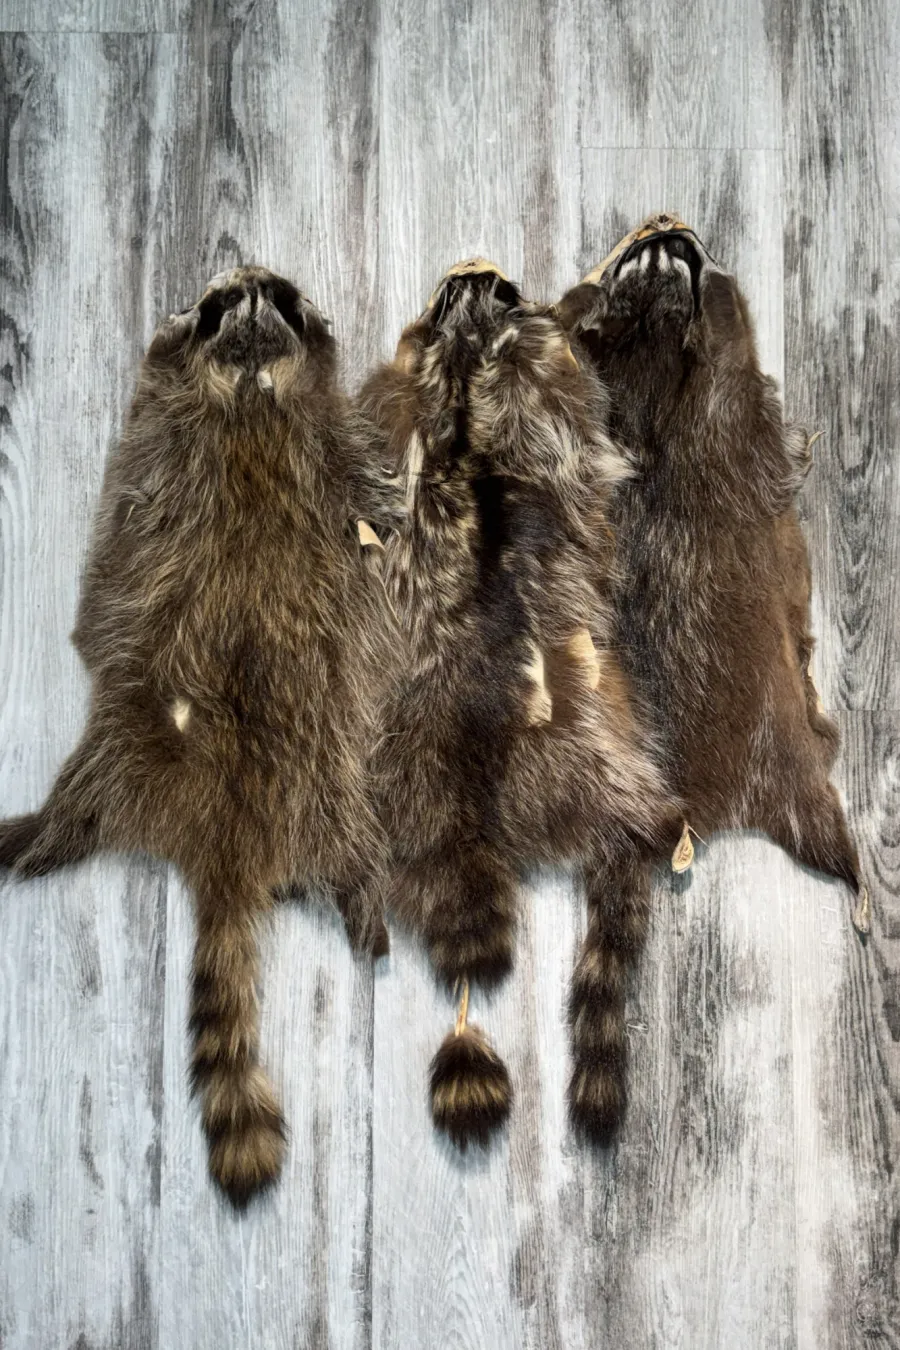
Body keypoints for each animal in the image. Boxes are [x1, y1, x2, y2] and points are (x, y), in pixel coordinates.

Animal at [0, 267, 398, 1204]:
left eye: (279, 295)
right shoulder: (168, 444)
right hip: (132, 739)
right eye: (218, 304)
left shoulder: (295, 445)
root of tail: (229, 834)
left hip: (318, 782)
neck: (248, 389)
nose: (252, 277)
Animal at [358, 260, 680, 1147]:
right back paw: (664, 824)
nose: (475, 269)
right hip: (598, 742)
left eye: (469, 289)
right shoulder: (547, 402)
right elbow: (582, 408)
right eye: (495, 291)